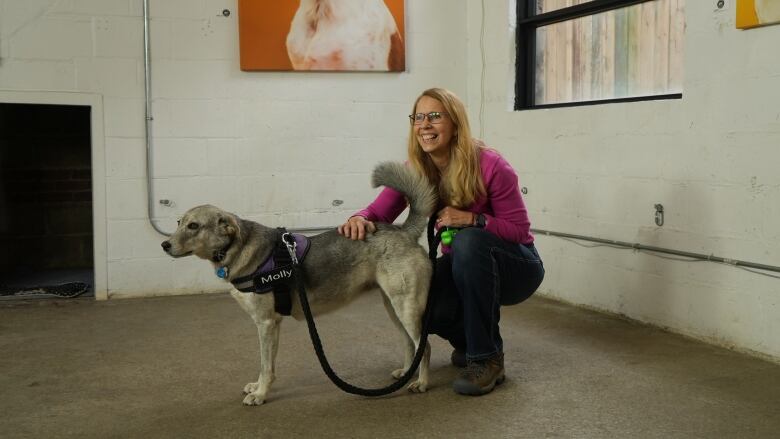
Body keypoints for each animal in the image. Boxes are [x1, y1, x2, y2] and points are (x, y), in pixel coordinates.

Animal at [161, 163, 436, 408]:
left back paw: (421, 383)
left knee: (425, 346)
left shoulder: (266, 323)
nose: (164, 245)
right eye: (178, 223)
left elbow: (265, 366)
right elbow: (267, 365)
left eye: (194, 226)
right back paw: (406, 373)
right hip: (393, 308)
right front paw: (259, 387)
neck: (235, 248)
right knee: (410, 344)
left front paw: (260, 394)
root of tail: (404, 231)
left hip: (406, 309)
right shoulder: (272, 325)